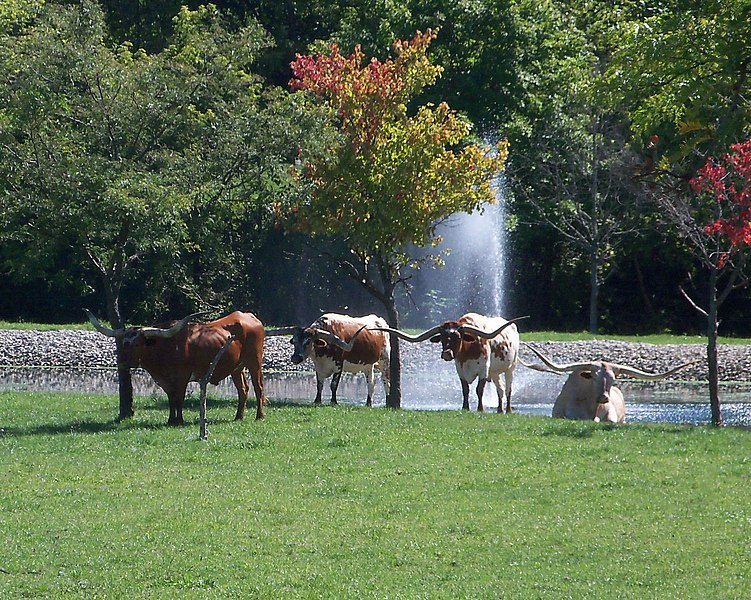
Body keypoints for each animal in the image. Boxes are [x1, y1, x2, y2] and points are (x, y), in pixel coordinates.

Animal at [84, 312, 268, 424]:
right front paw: (170, 419)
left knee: (258, 387)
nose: (121, 362)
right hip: (237, 367)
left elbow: (179, 398)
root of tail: (249, 316)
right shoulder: (165, 380)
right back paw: (238, 416)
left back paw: (259, 416)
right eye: (123, 343)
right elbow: (171, 399)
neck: (164, 347)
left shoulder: (182, 377)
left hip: (254, 361)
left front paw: (179, 420)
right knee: (243, 389)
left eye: (136, 344)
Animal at [376, 314, 528, 412]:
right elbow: (465, 389)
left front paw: (480, 408)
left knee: (508, 389)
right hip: (495, 372)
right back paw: (499, 410)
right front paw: (465, 407)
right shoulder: (460, 370)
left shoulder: (483, 370)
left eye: (458, 337)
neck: (468, 350)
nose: (447, 354)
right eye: (442, 337)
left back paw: (508, 409)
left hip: (510, 367)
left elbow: (479, 390)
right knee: (500, 389)